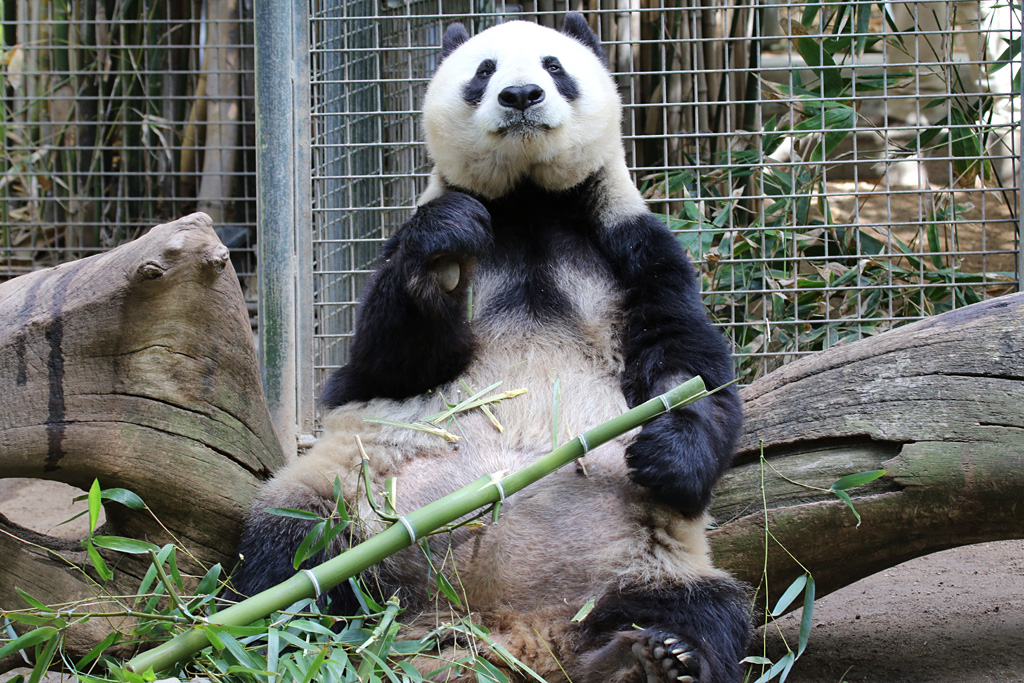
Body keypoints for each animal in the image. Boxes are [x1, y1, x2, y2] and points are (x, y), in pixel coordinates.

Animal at [235, 14, 749, 683]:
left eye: (555, 66)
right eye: (484, 71)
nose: (521, 95)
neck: (529, 203)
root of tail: (510, 629)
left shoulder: (633, 245)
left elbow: (686, 361)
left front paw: (668, 450)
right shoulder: (420, 243)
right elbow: (385, 364)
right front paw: (444, 243)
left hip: (651, 553)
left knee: (708, 610)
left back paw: (657, 657)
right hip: (348, 497)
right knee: (288, 555)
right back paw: (279, 639)